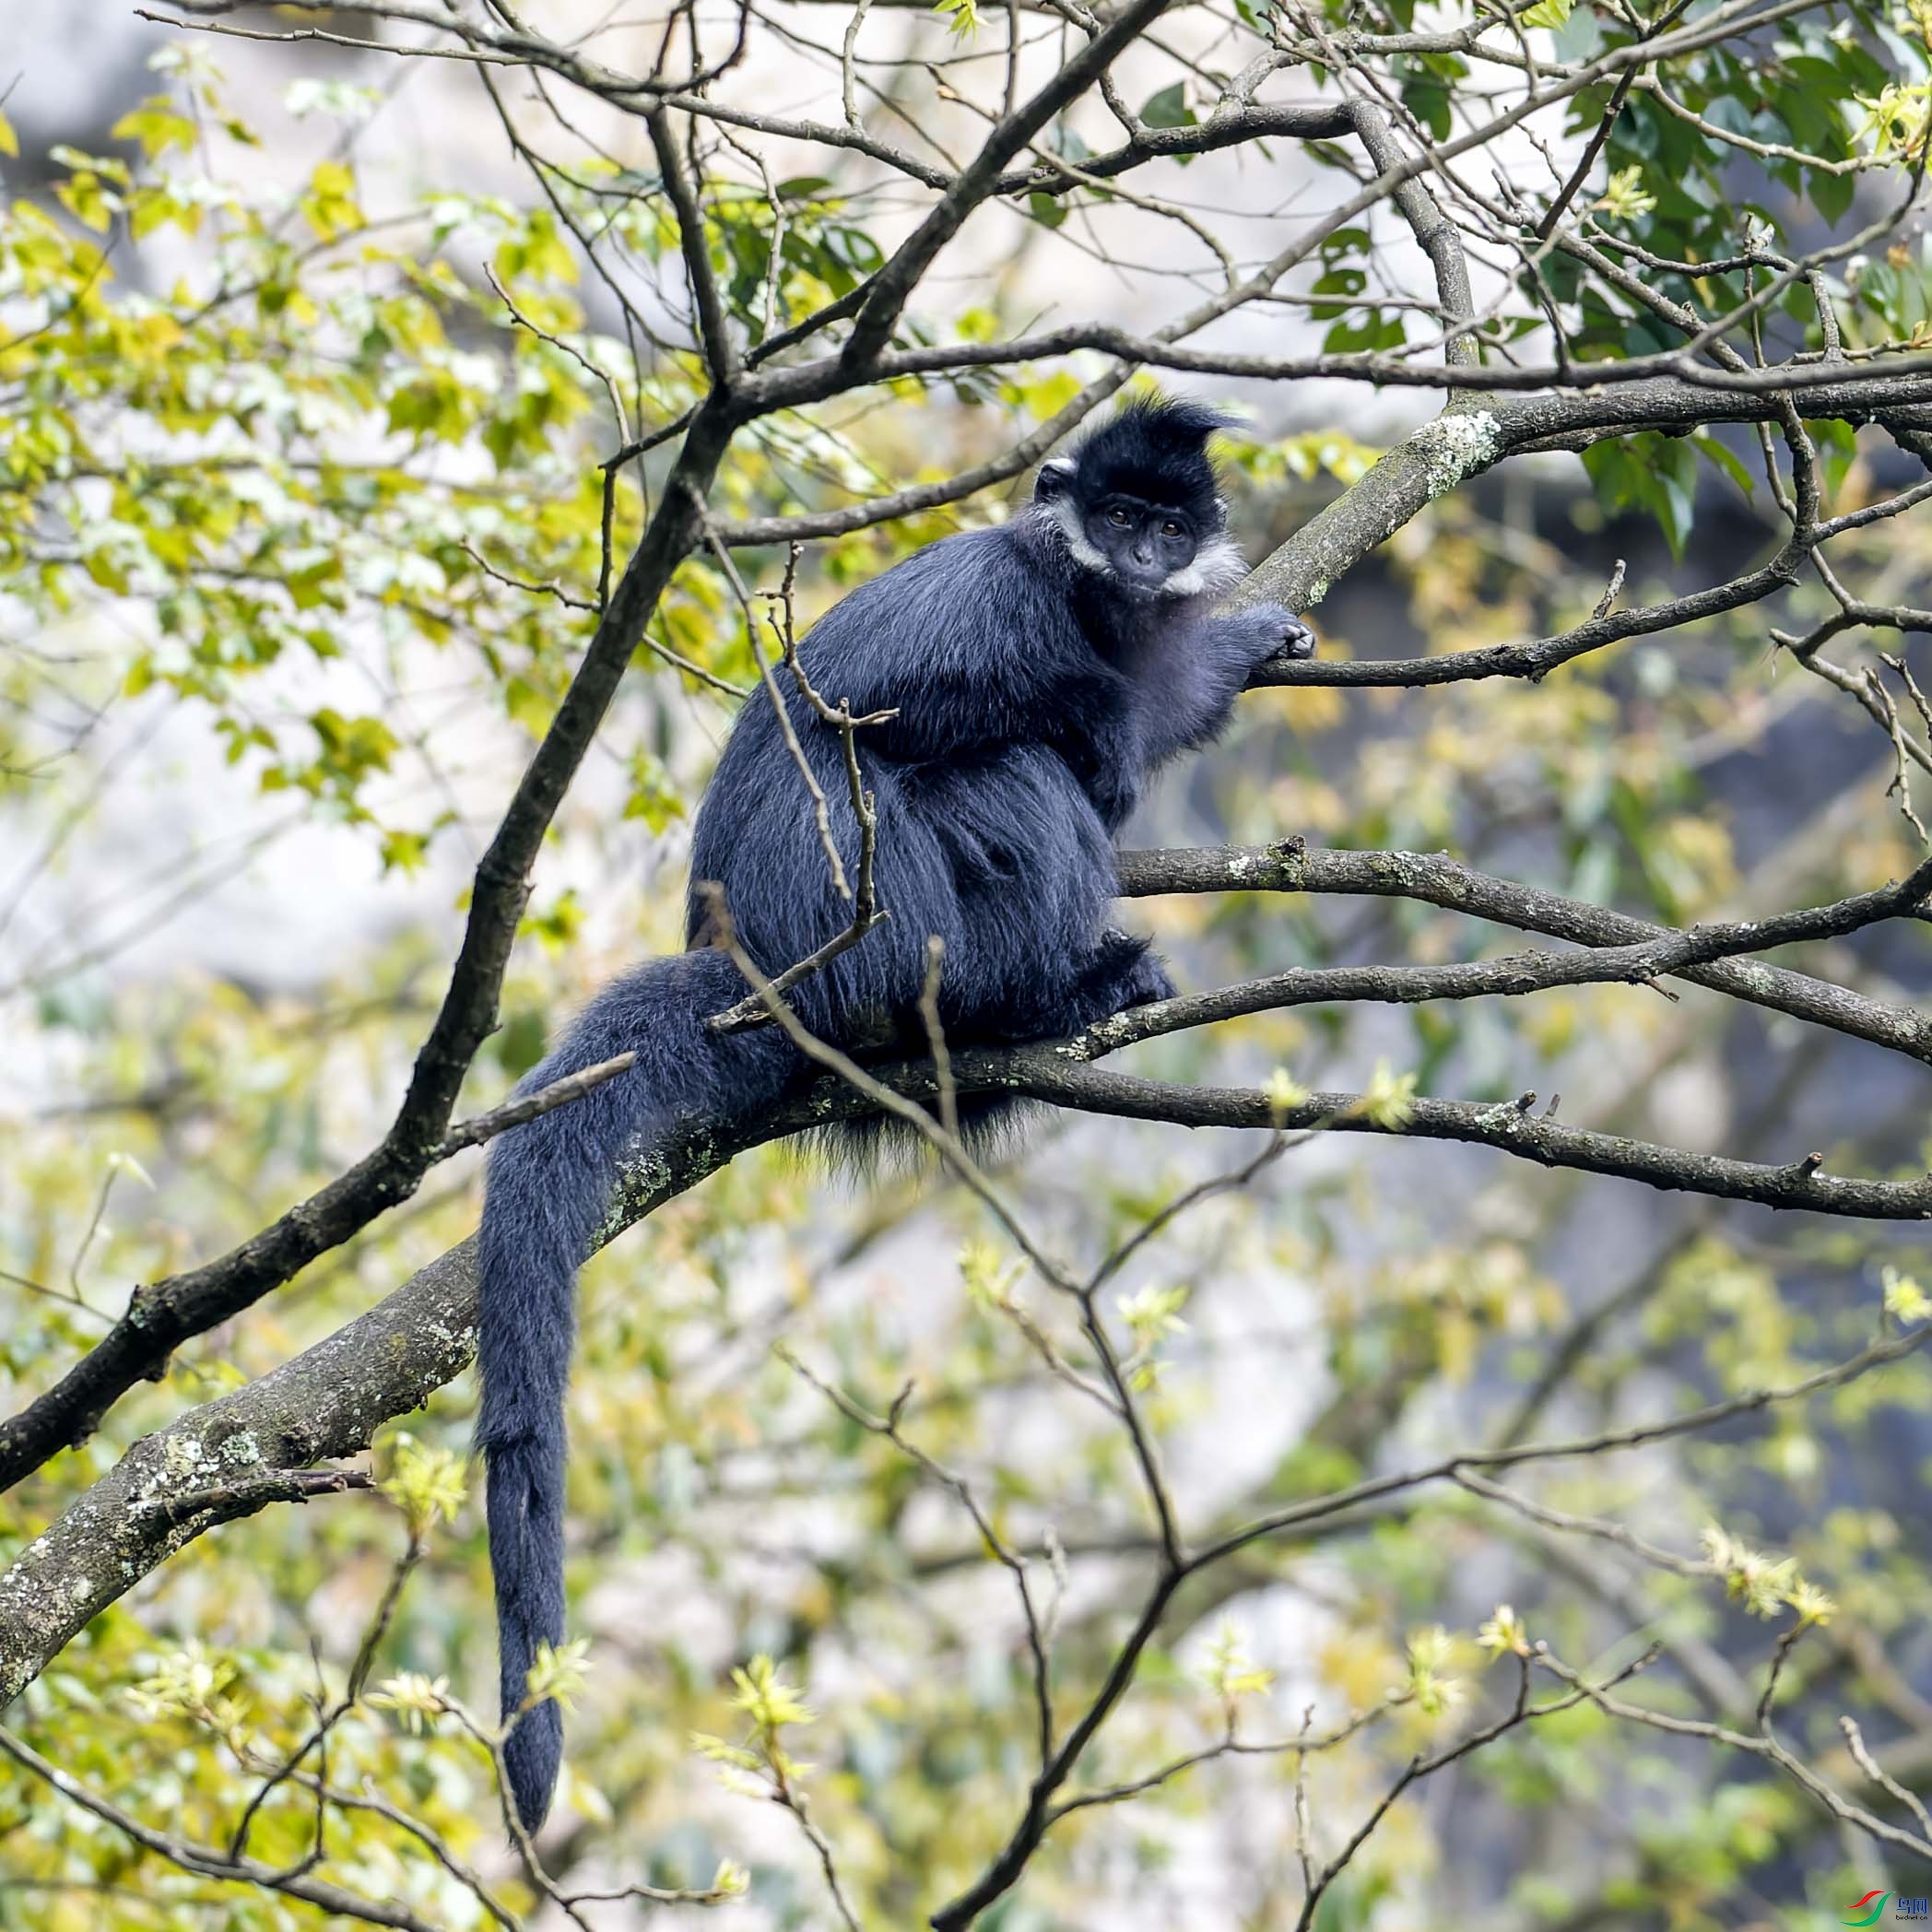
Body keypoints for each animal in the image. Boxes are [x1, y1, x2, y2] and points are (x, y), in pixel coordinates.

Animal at [478, 395, 1314, 1823]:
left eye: (1167, 523)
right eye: (1118, 518)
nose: (1145, 558)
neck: (1088, 600)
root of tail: (760, 965)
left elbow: (1165, 691)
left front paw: (1242, 640)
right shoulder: (998, 600)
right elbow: (916, 706)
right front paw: (1104, 717)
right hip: (883, 924)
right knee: (1005, 767)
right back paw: (1045, 988)